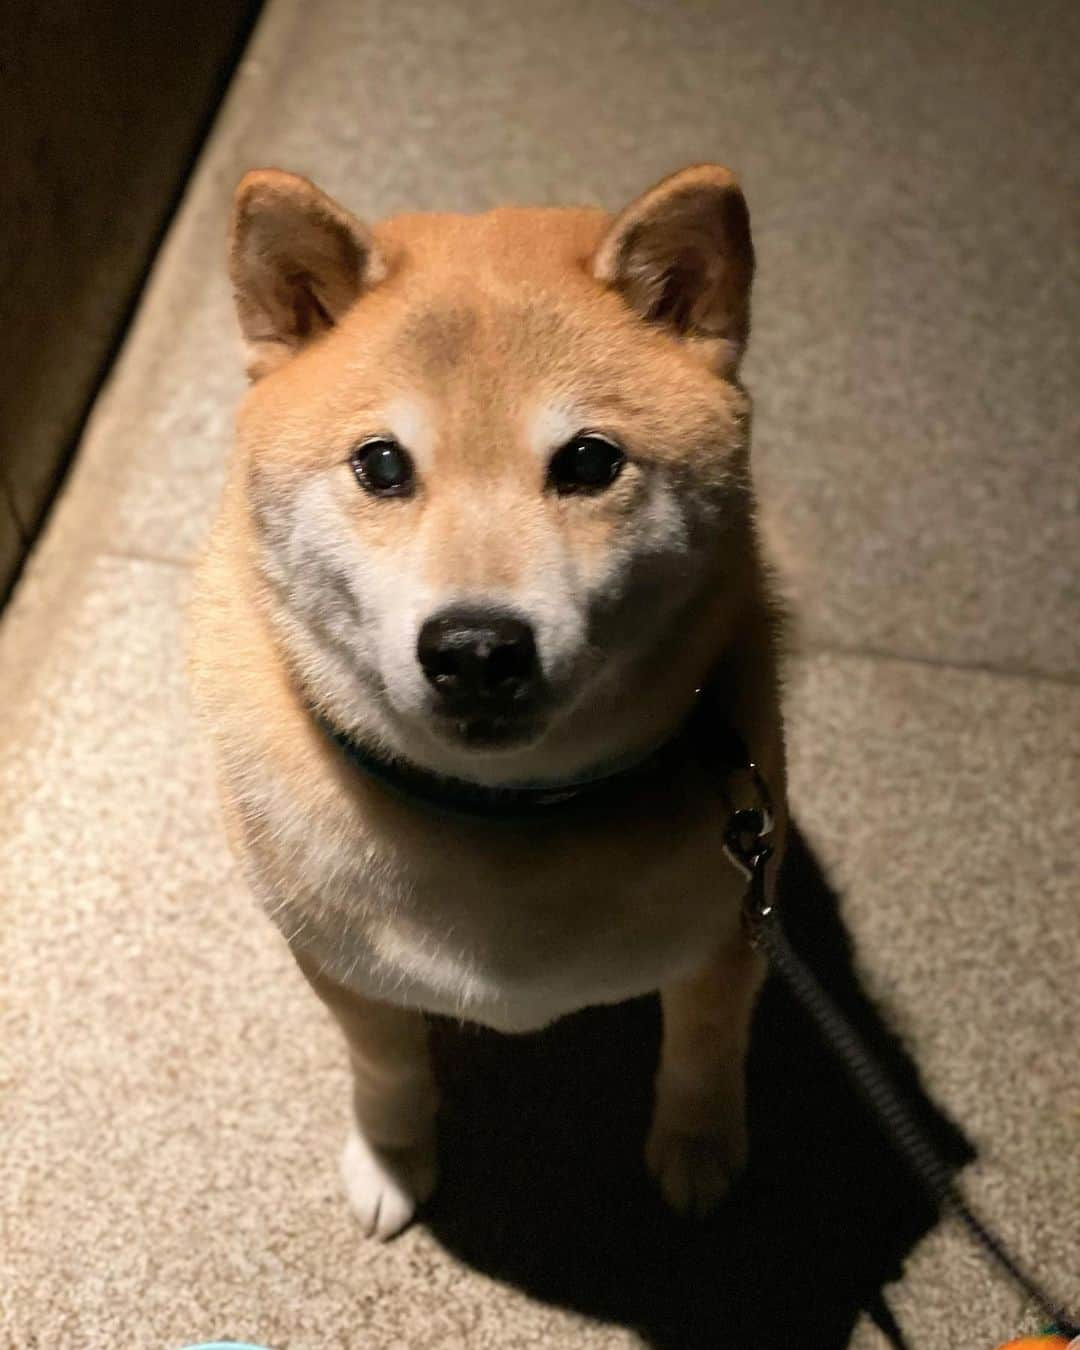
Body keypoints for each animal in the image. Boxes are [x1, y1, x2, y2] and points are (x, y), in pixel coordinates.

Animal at [190, 163, 788, 1236]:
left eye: (588, 461)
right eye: (381, 464)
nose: (475, 649)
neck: (502, 817)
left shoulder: (732, 926)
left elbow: (706, 1045)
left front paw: (697, 1144)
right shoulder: (339, 962)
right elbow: (384, 1064)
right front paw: (391, 1155)